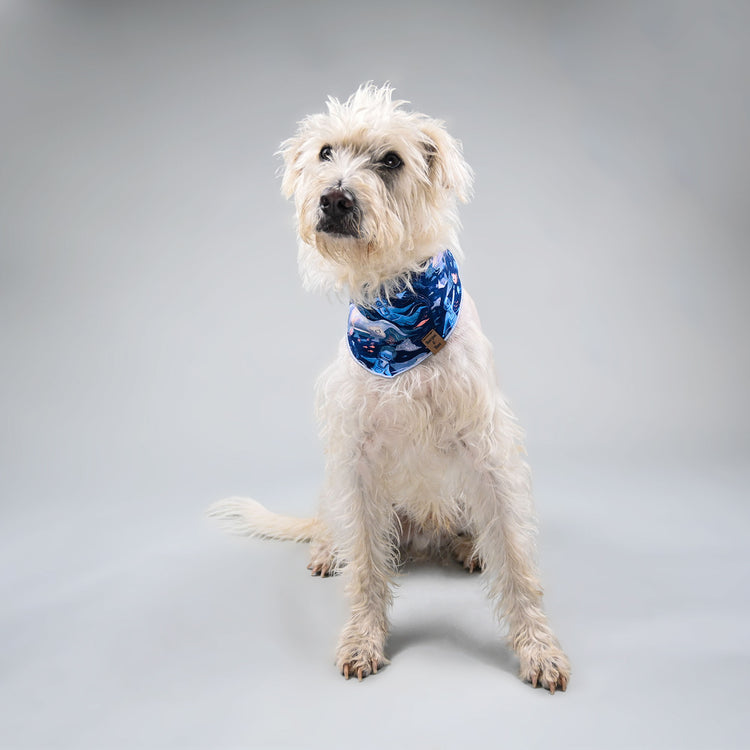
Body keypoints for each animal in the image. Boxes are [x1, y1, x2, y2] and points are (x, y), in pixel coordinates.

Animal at [209, 85, 572, 696]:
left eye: (391, 161)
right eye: (326, 152)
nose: (333, 200)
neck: (398, 318)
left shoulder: (490, 454)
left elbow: (516, 560)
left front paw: (539, 648)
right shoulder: (356, 459)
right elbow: (365, 566)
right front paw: (362, 637)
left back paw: (469, 547)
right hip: (339, 485)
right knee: (337, 526)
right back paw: (327, 549)